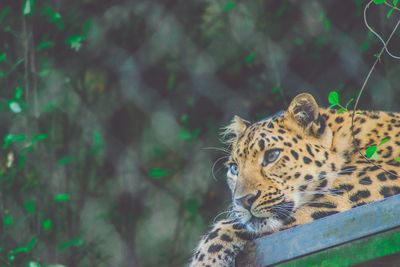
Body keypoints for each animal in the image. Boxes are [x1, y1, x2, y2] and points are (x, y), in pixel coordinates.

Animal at [189, 93, 400, 266]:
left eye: (272, 156)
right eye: (234, 168)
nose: (243, 201)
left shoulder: (352, 194)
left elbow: (226, 227)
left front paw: (205, 261)